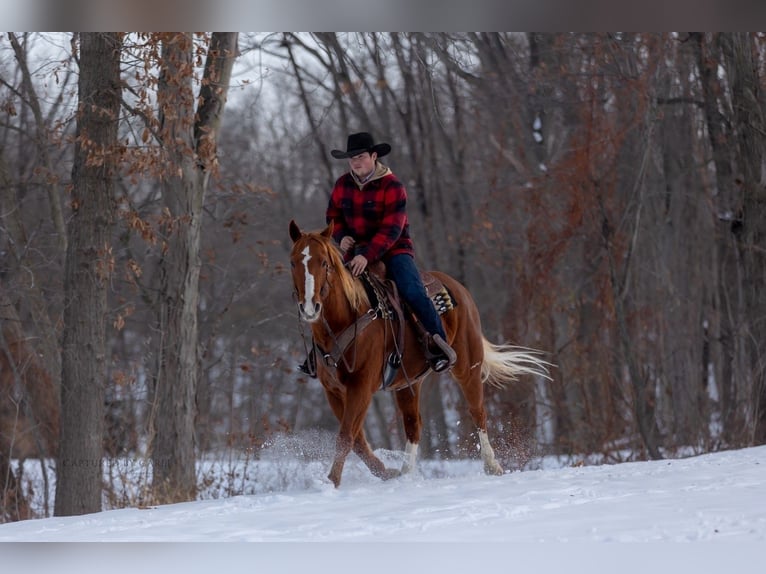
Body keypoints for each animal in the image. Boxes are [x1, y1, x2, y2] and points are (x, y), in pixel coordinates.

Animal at [288, 219, 550, 487]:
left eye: (324, 262)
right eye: (293, 262)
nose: (309, 307)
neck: (348, 318)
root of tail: (459, 288)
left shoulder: (361, 385)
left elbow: (346, 435)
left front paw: (332, 481)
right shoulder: (333, 391)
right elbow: (357, 439)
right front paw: (385, 472)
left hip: (468, 367)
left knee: (478, 412)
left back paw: (492, 466)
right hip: (408, 383)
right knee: (414, 425)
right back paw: (405, 474)